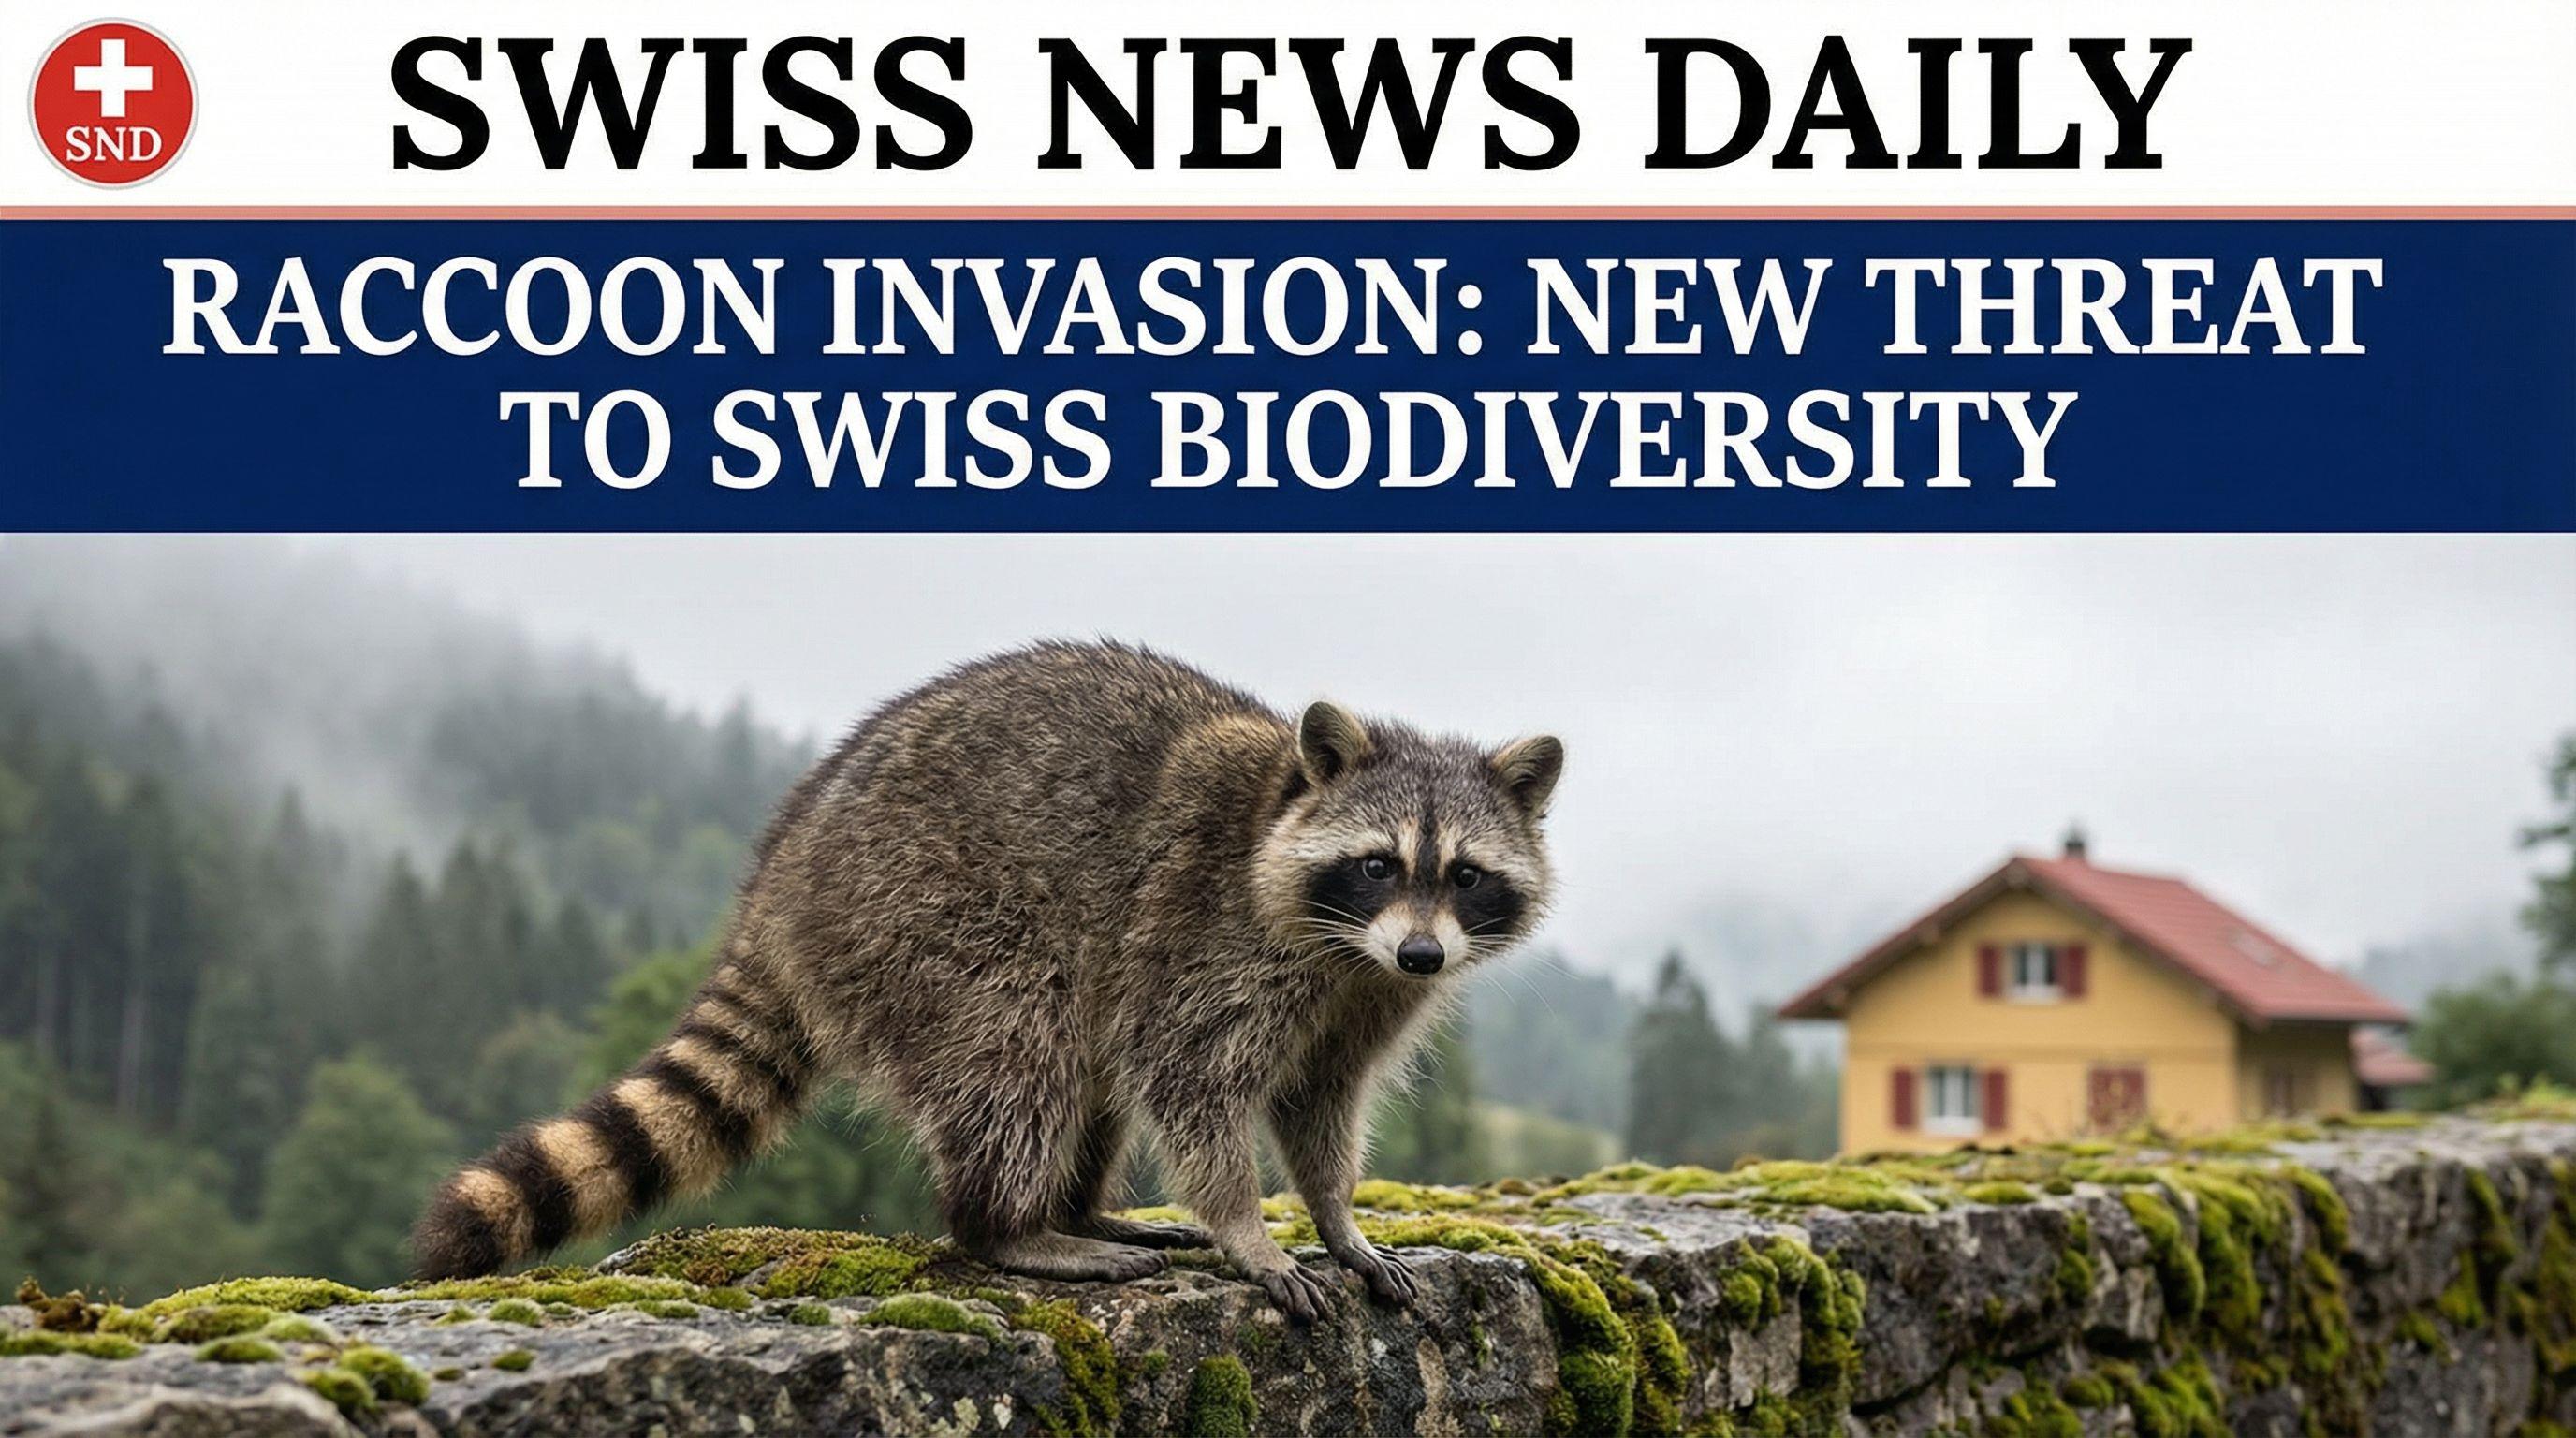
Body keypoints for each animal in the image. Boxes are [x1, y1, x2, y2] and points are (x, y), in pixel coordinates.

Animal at [411, 641, 1562, 1321]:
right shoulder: (1208, 939)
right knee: (1016, 1051)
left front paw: (1334, 1217)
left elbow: (1322, 1099)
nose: (1423, 955)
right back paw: (1010, 1227)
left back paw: (1082, 1209)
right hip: (925, 915)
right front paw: (1248, 1227)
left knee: (1083, 1070)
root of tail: (783, 870)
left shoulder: (1365, 997)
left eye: (1464, 875)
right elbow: (1192, 1084)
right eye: (1377, 865)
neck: (1343, 944)